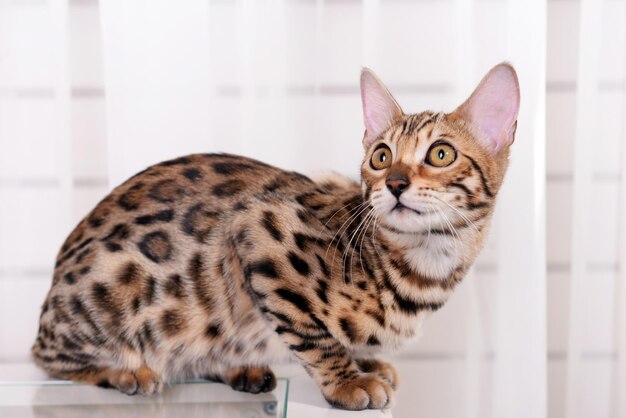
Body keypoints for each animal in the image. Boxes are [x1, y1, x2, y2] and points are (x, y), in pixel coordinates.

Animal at [31, 63, 520, 410]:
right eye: (381, 157)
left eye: (441, 154)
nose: (396, 183)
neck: (428, 263)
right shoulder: (259, 229)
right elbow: (315, 334)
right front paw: (349, 380)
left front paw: (365, 362)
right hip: (118, 289)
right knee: (46, 357)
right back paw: (126, 371)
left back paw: (239, 369)